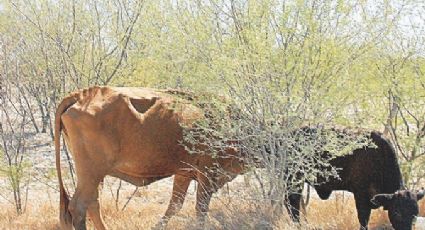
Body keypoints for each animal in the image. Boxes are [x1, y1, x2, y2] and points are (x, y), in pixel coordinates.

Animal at [54, 86, 243, 230]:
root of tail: (81, 94)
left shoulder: (183, 173)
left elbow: (175, 205)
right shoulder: (206, 173)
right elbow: (200, 208)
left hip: (94, 175)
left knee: (92, 203)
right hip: (91, 173)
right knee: (79, 206)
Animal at [284, 126, 424, 230]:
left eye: (415, 214)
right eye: (397, 213)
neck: (379, 158)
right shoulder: (360, 196)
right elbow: (363, 221)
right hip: (294, 181)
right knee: (293, 205)